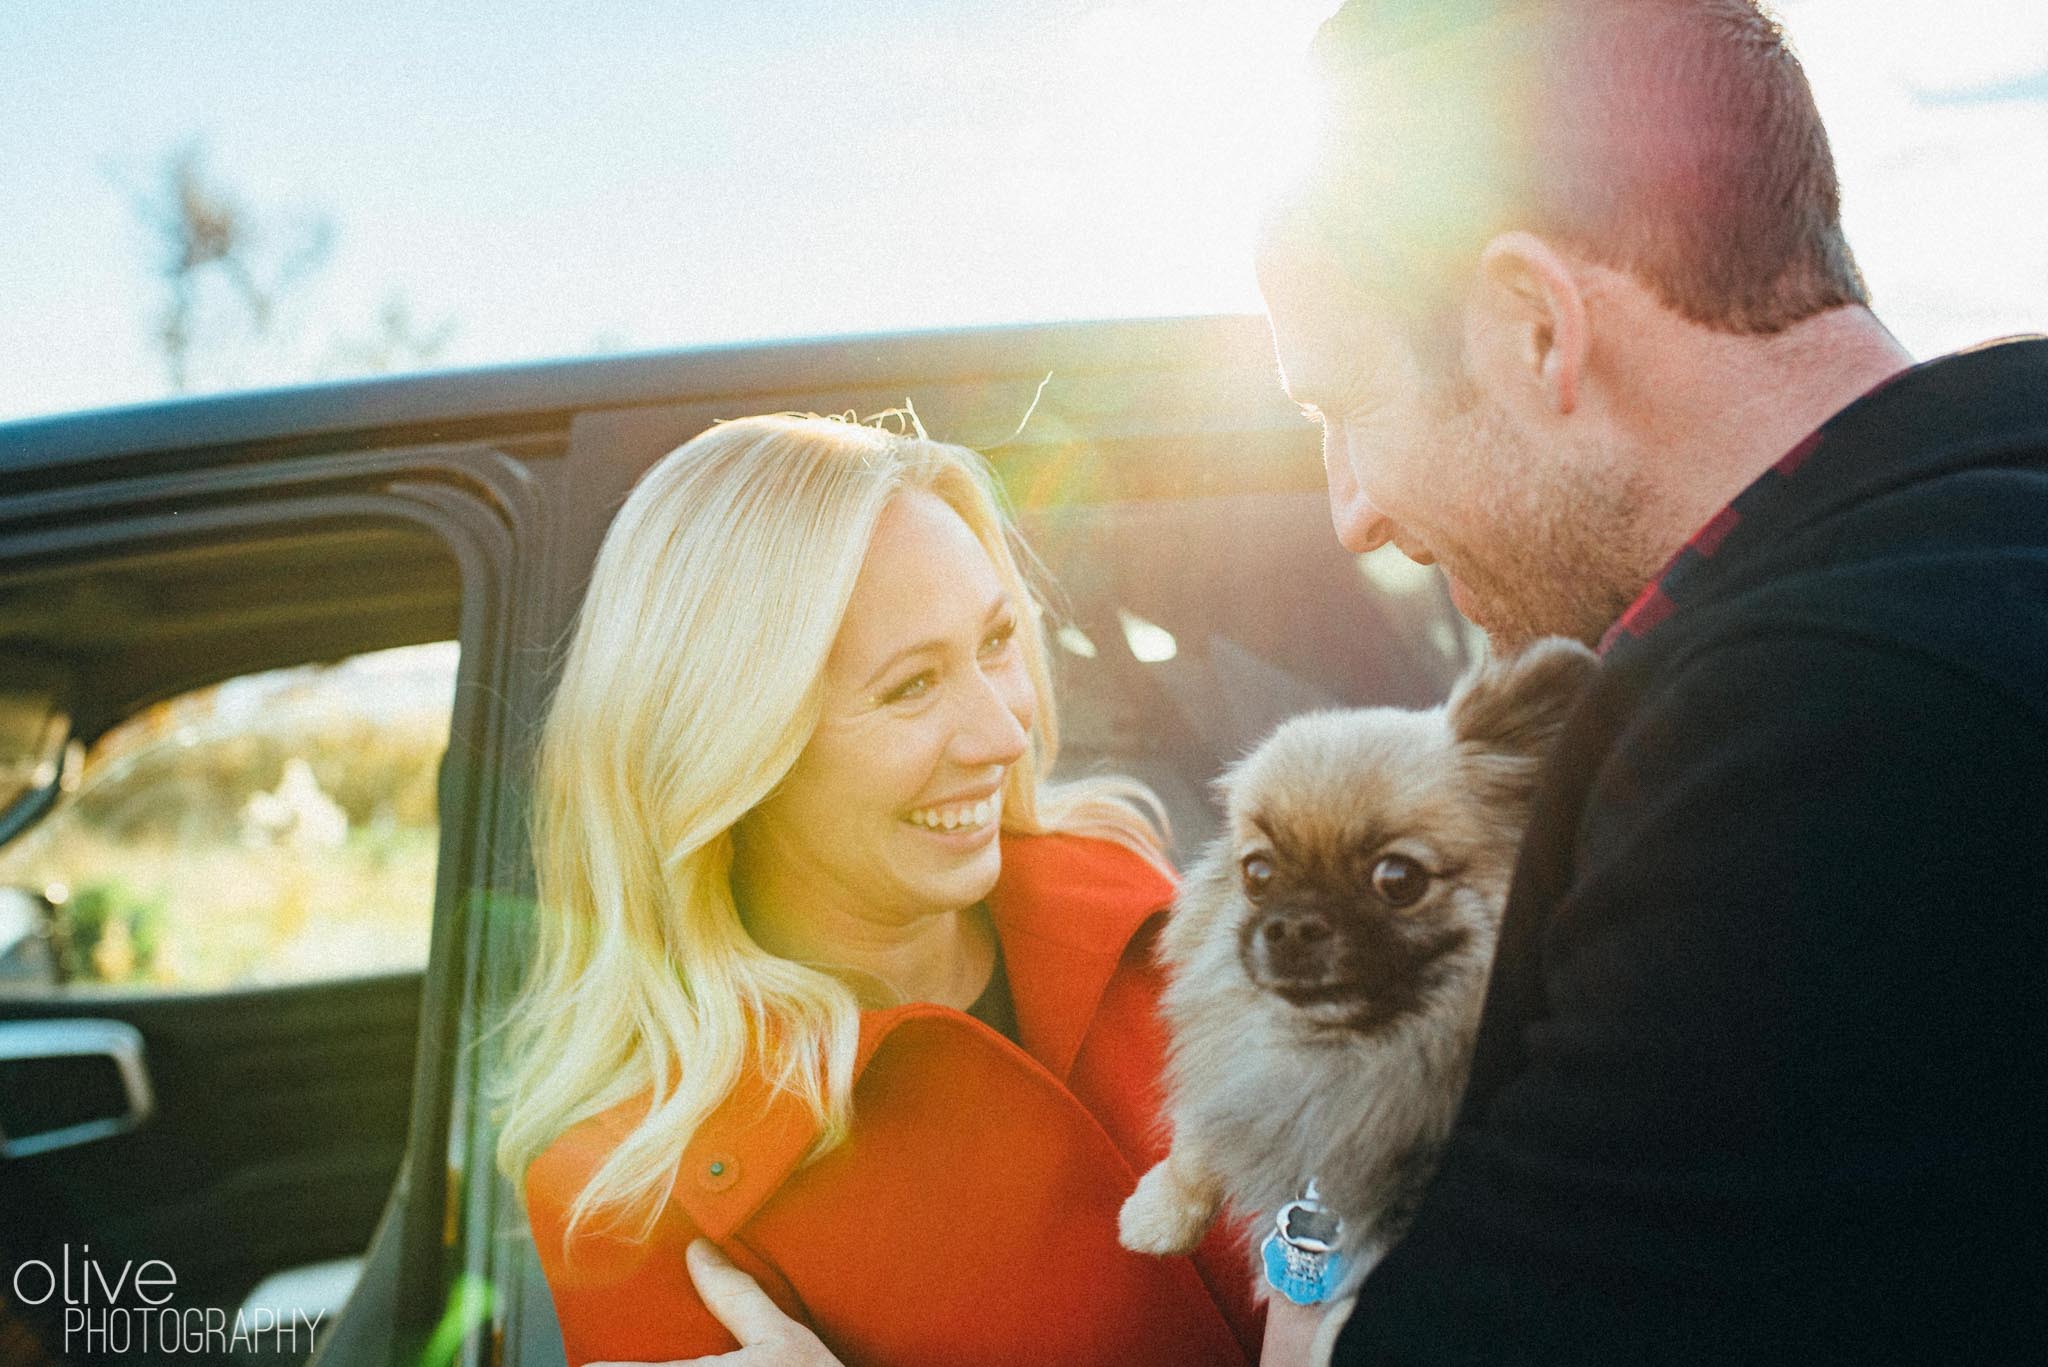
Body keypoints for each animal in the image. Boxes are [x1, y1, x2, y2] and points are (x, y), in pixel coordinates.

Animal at [1122, 643, 1597, 1311]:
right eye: (1258, 873)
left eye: (1398, 879)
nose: (1293, 926)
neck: (1341, 1057)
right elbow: (1202, 1133)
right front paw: (1161, 1211)